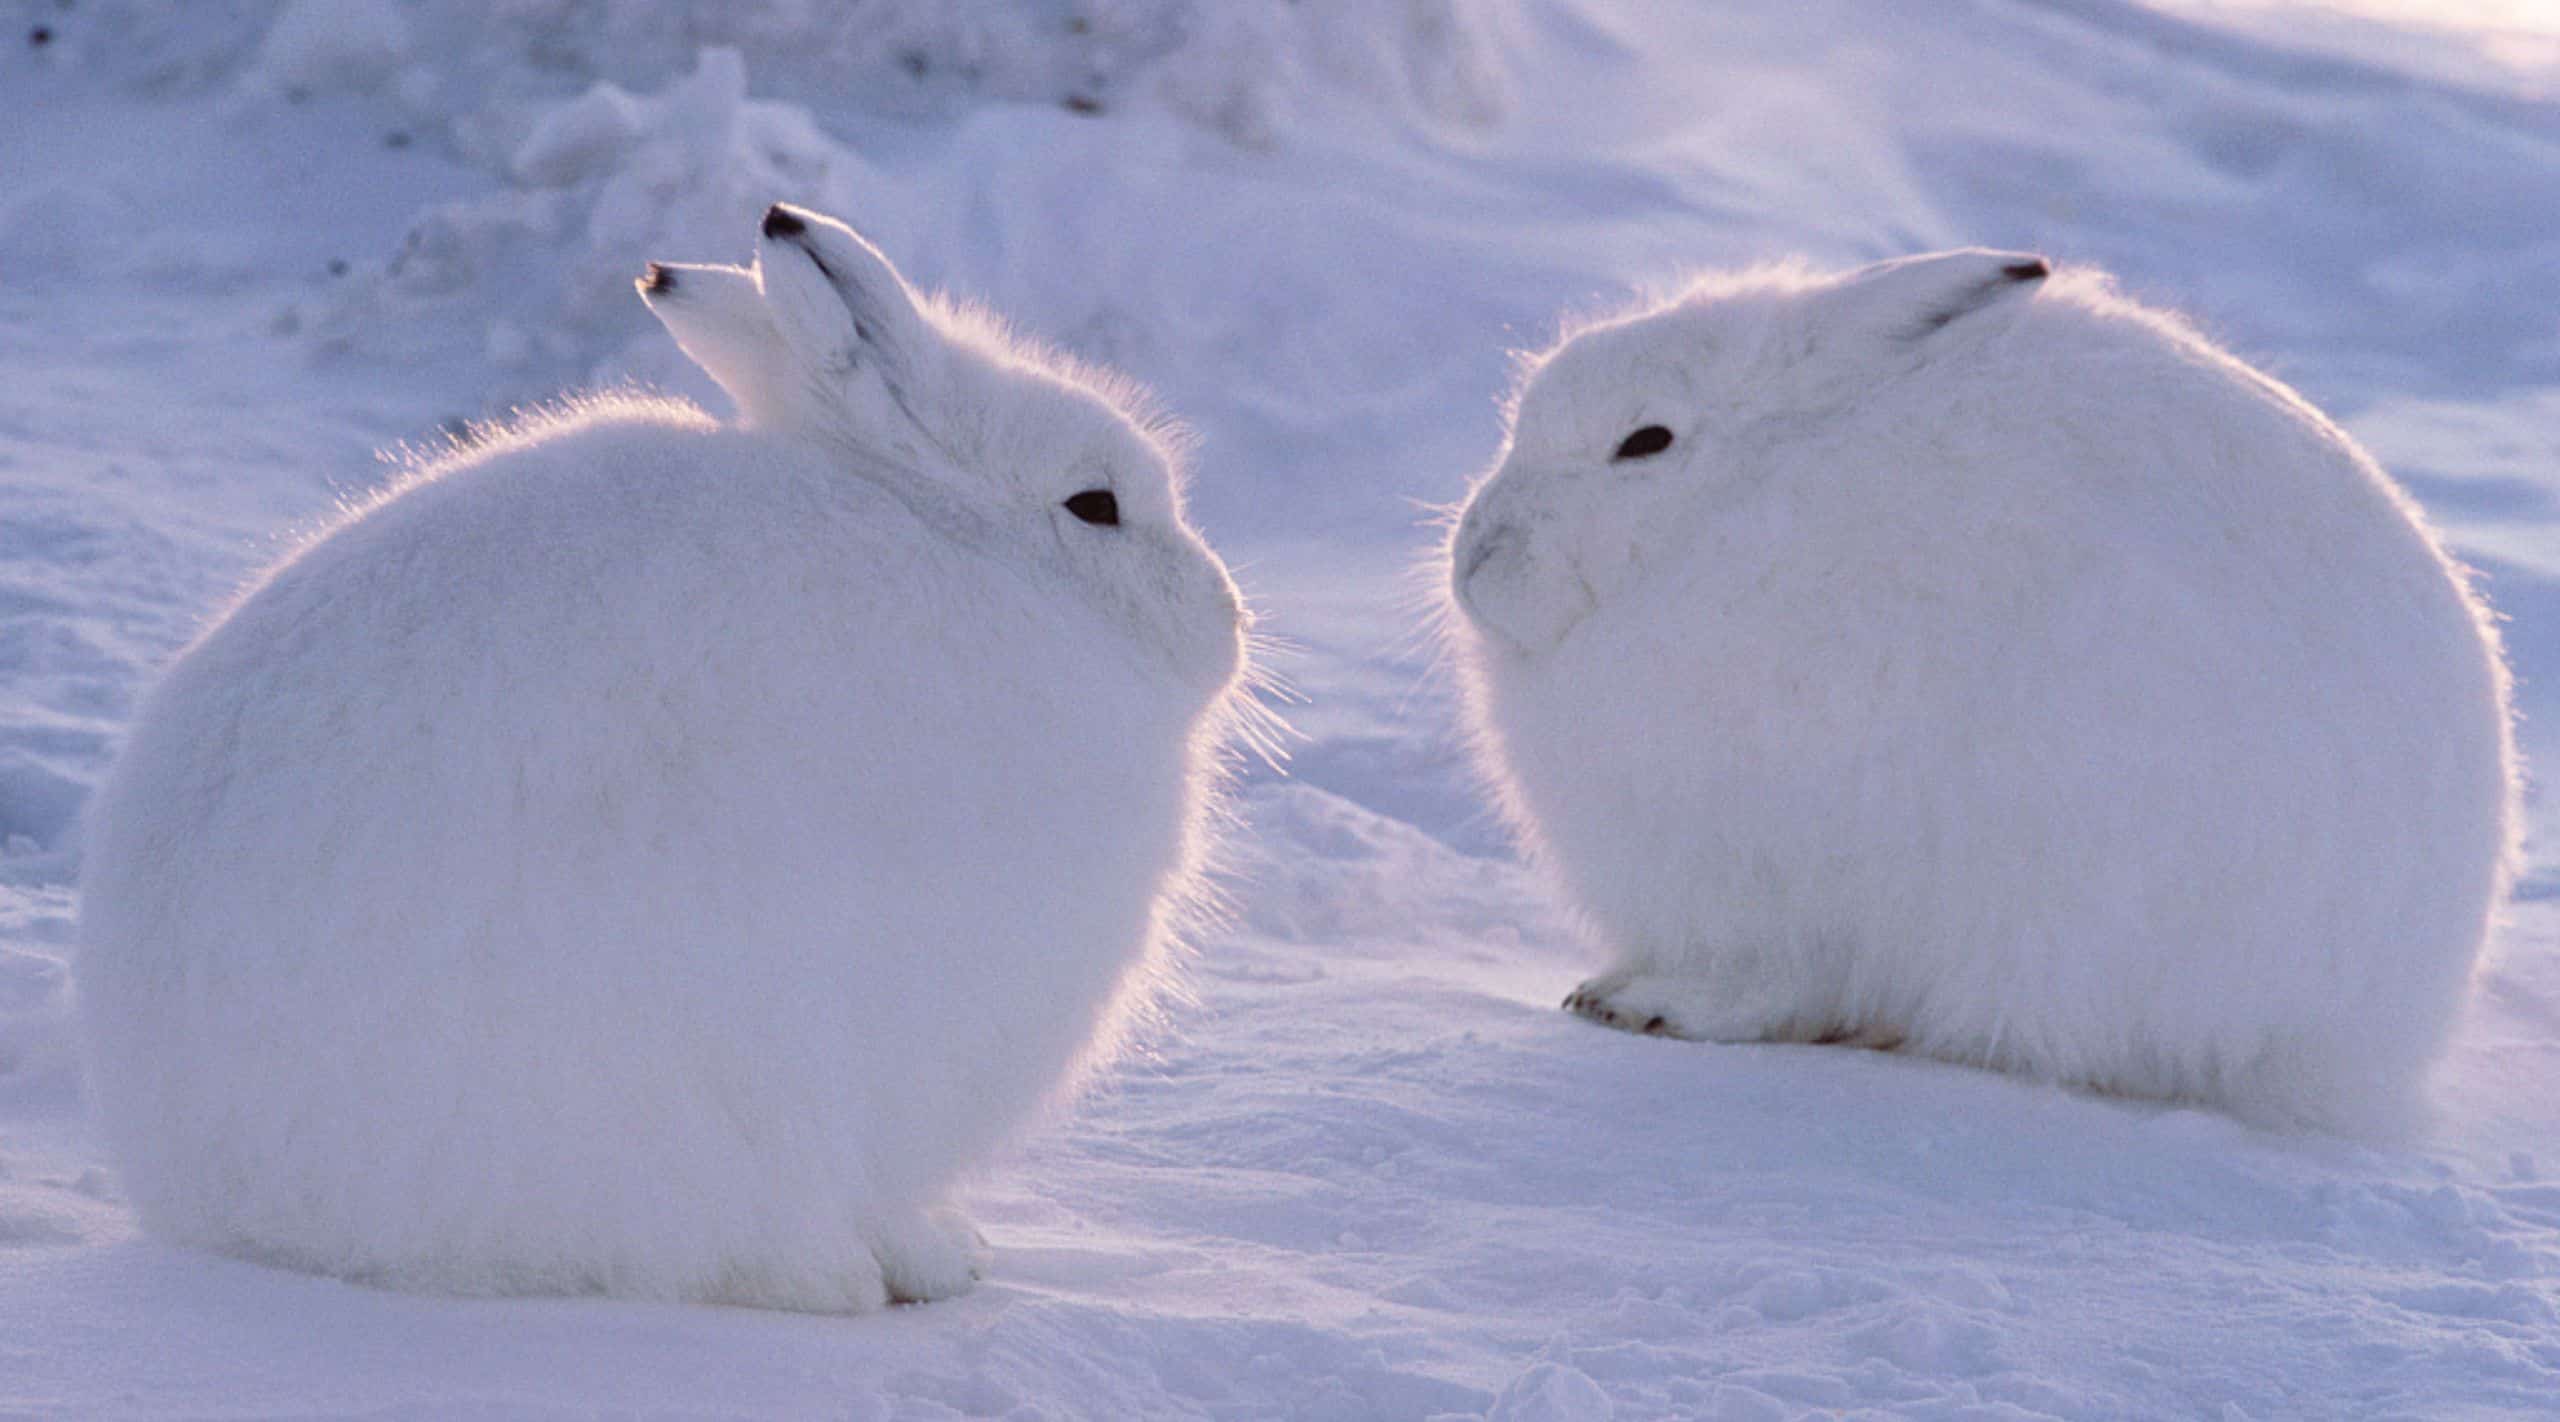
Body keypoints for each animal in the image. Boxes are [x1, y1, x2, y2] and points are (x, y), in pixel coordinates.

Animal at [75, 204, 1253, 1310]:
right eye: (1095, 506)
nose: (1231, 619)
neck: (965, 548)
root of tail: (238, 1205)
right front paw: (937, 1260)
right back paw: (837, 1274)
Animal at [1444, 249, 2517, 1132]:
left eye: (1646, 441)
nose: (1473, 559)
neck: (1733, 512)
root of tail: (2382, 1031)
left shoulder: (1787, 866)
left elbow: (1774, 976)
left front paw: (1638, 1003)